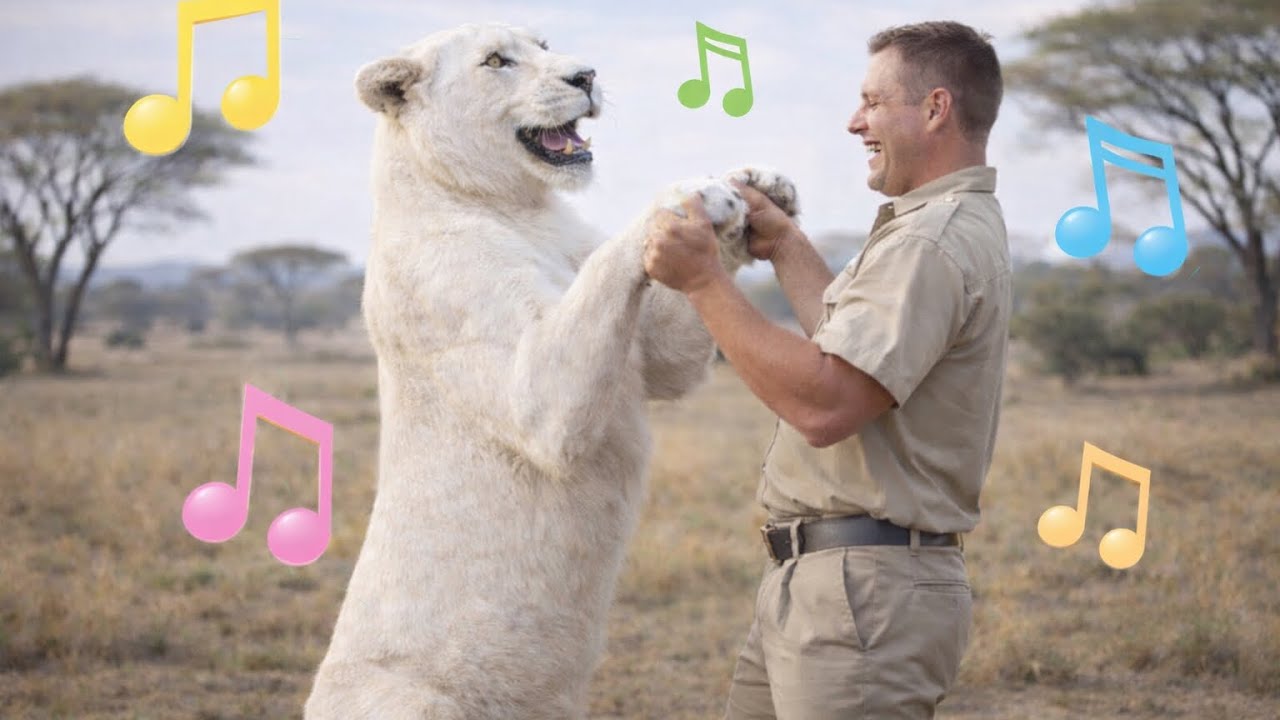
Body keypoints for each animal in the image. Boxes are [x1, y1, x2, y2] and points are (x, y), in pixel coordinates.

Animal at [304, 22, 798, 720]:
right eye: (496, 61)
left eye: (542, 43)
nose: (585, 75)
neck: (523, 207)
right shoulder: (525, 385)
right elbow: (575, 328)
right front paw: (691, 195)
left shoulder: (651, 352)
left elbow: (666, 347)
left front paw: (758, 179)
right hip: (414, 701)